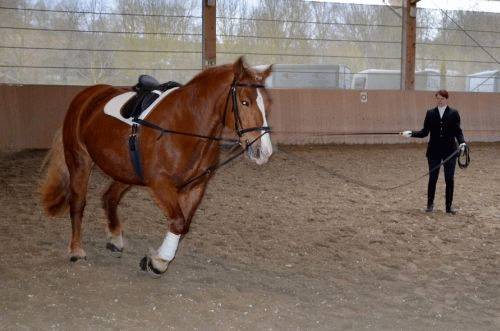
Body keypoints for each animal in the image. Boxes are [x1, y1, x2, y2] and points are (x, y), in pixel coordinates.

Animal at [40, 57, 274, 278]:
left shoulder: (196, 187)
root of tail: (86, 96)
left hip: (126, 172)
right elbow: (178, 222)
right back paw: (76, 250)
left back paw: (115, 239)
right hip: (79, 160)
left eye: (267, 104)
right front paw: (157, 263)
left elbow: (182, 225)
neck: (186, 124)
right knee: (78, 202)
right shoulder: (160, 184)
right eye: (244, 102)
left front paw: (156, 260)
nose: (264, 151)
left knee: (109, 197)